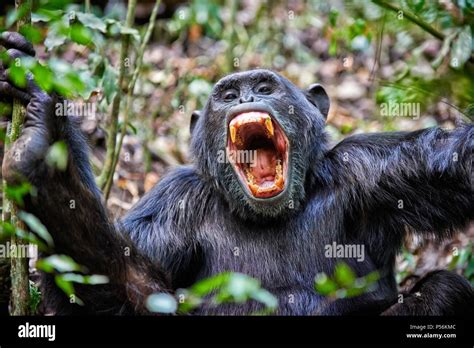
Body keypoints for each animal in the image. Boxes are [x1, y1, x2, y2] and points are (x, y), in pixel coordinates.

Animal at [0, 32, 474, 316]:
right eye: (227, 95)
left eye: (264, 88)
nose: (244, 96)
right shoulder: (173, 203)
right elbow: (129, 288)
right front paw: (48, 153)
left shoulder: (375, 168)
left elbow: (456, 166)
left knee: (444, 290)